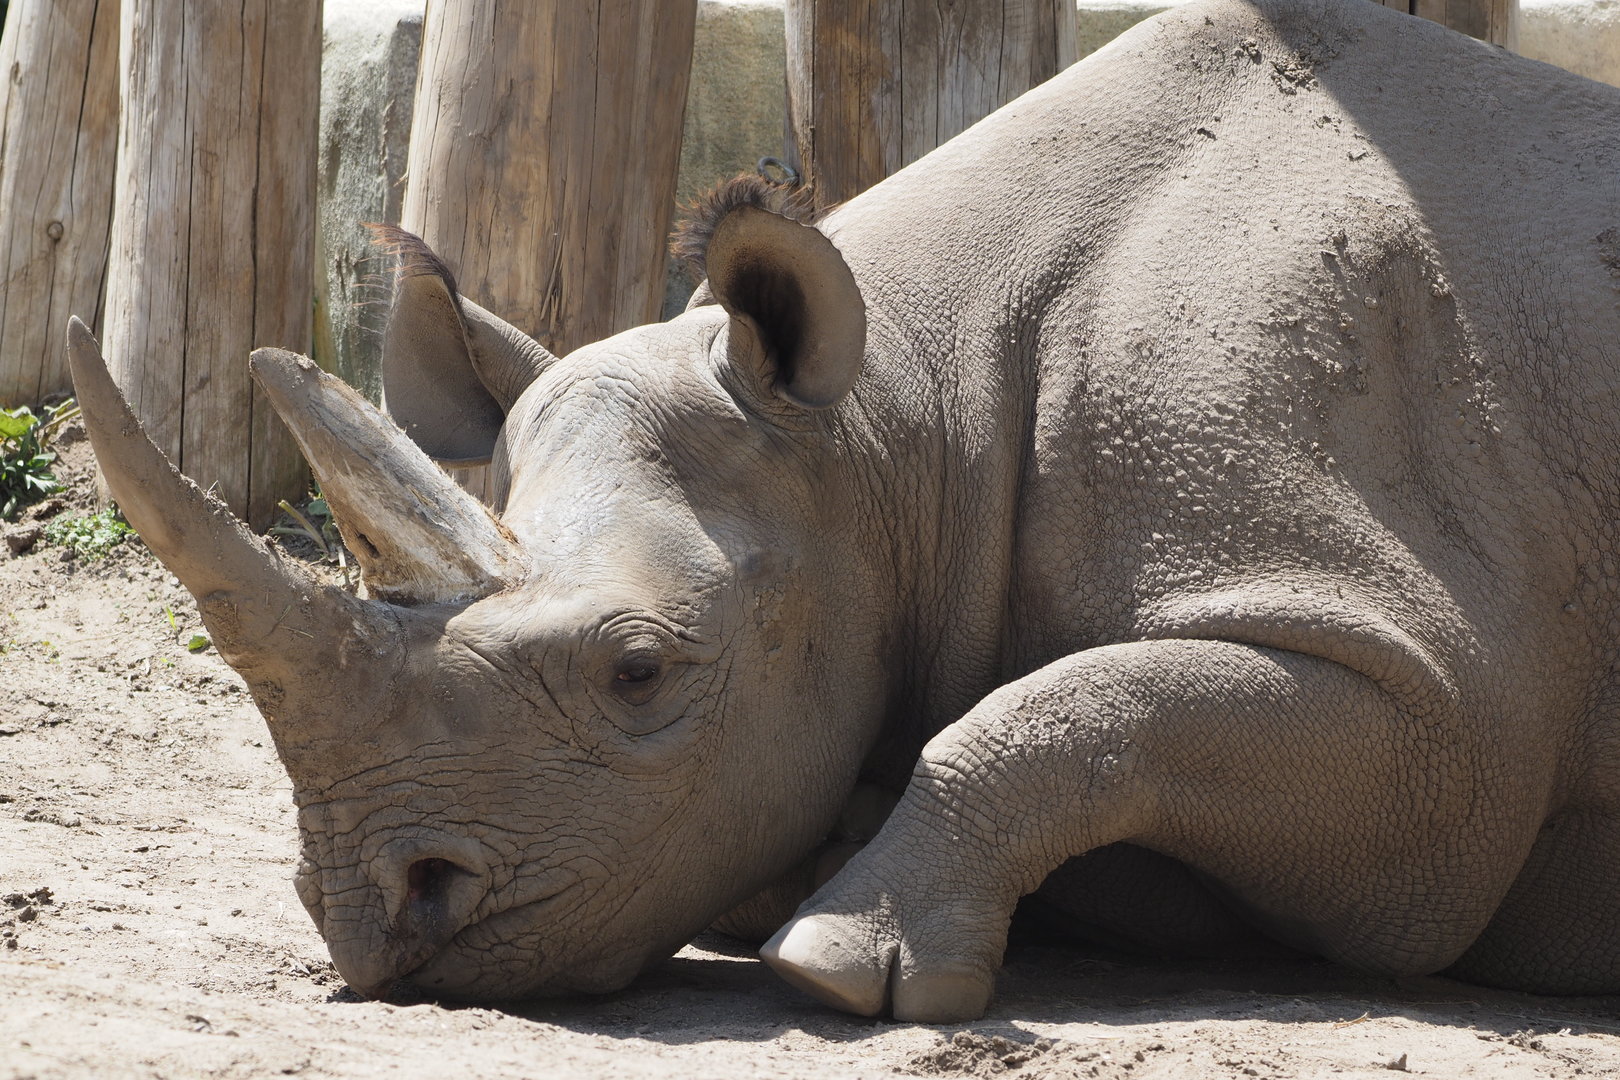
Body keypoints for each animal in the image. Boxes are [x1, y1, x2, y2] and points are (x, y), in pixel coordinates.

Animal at [69, 0, 1620, 1023]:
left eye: (641, 672)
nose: (373, 924)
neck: (898, 427)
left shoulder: (1426, 715)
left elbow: (1078, 710)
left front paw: (840, 965)